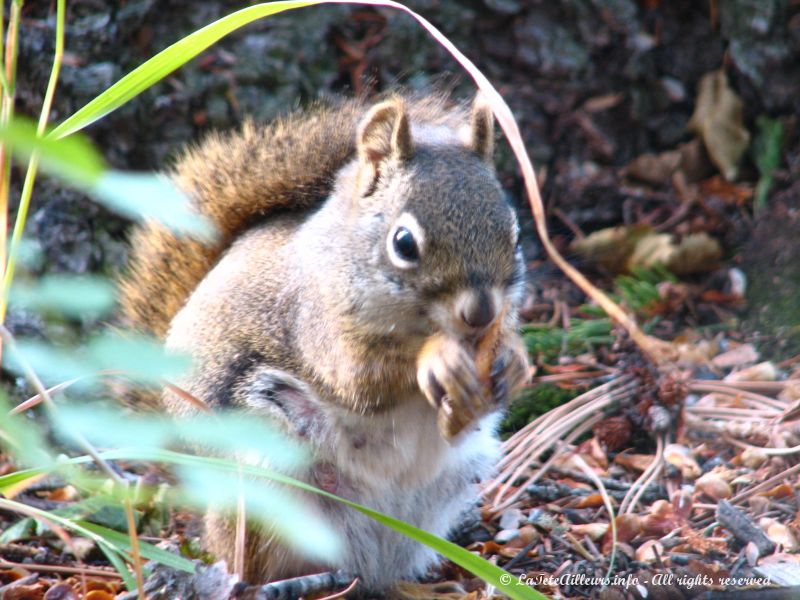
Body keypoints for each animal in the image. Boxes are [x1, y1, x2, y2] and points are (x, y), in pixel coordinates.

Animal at [119, 91, 532, 592]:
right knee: (254, 560)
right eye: (404, 243)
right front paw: (437, 361)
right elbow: (358, 381)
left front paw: (513, 359)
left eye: (514, 235)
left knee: (385, 571)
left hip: (450, 484)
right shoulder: (315, 322)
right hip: (267, 477)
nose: (480, 313)